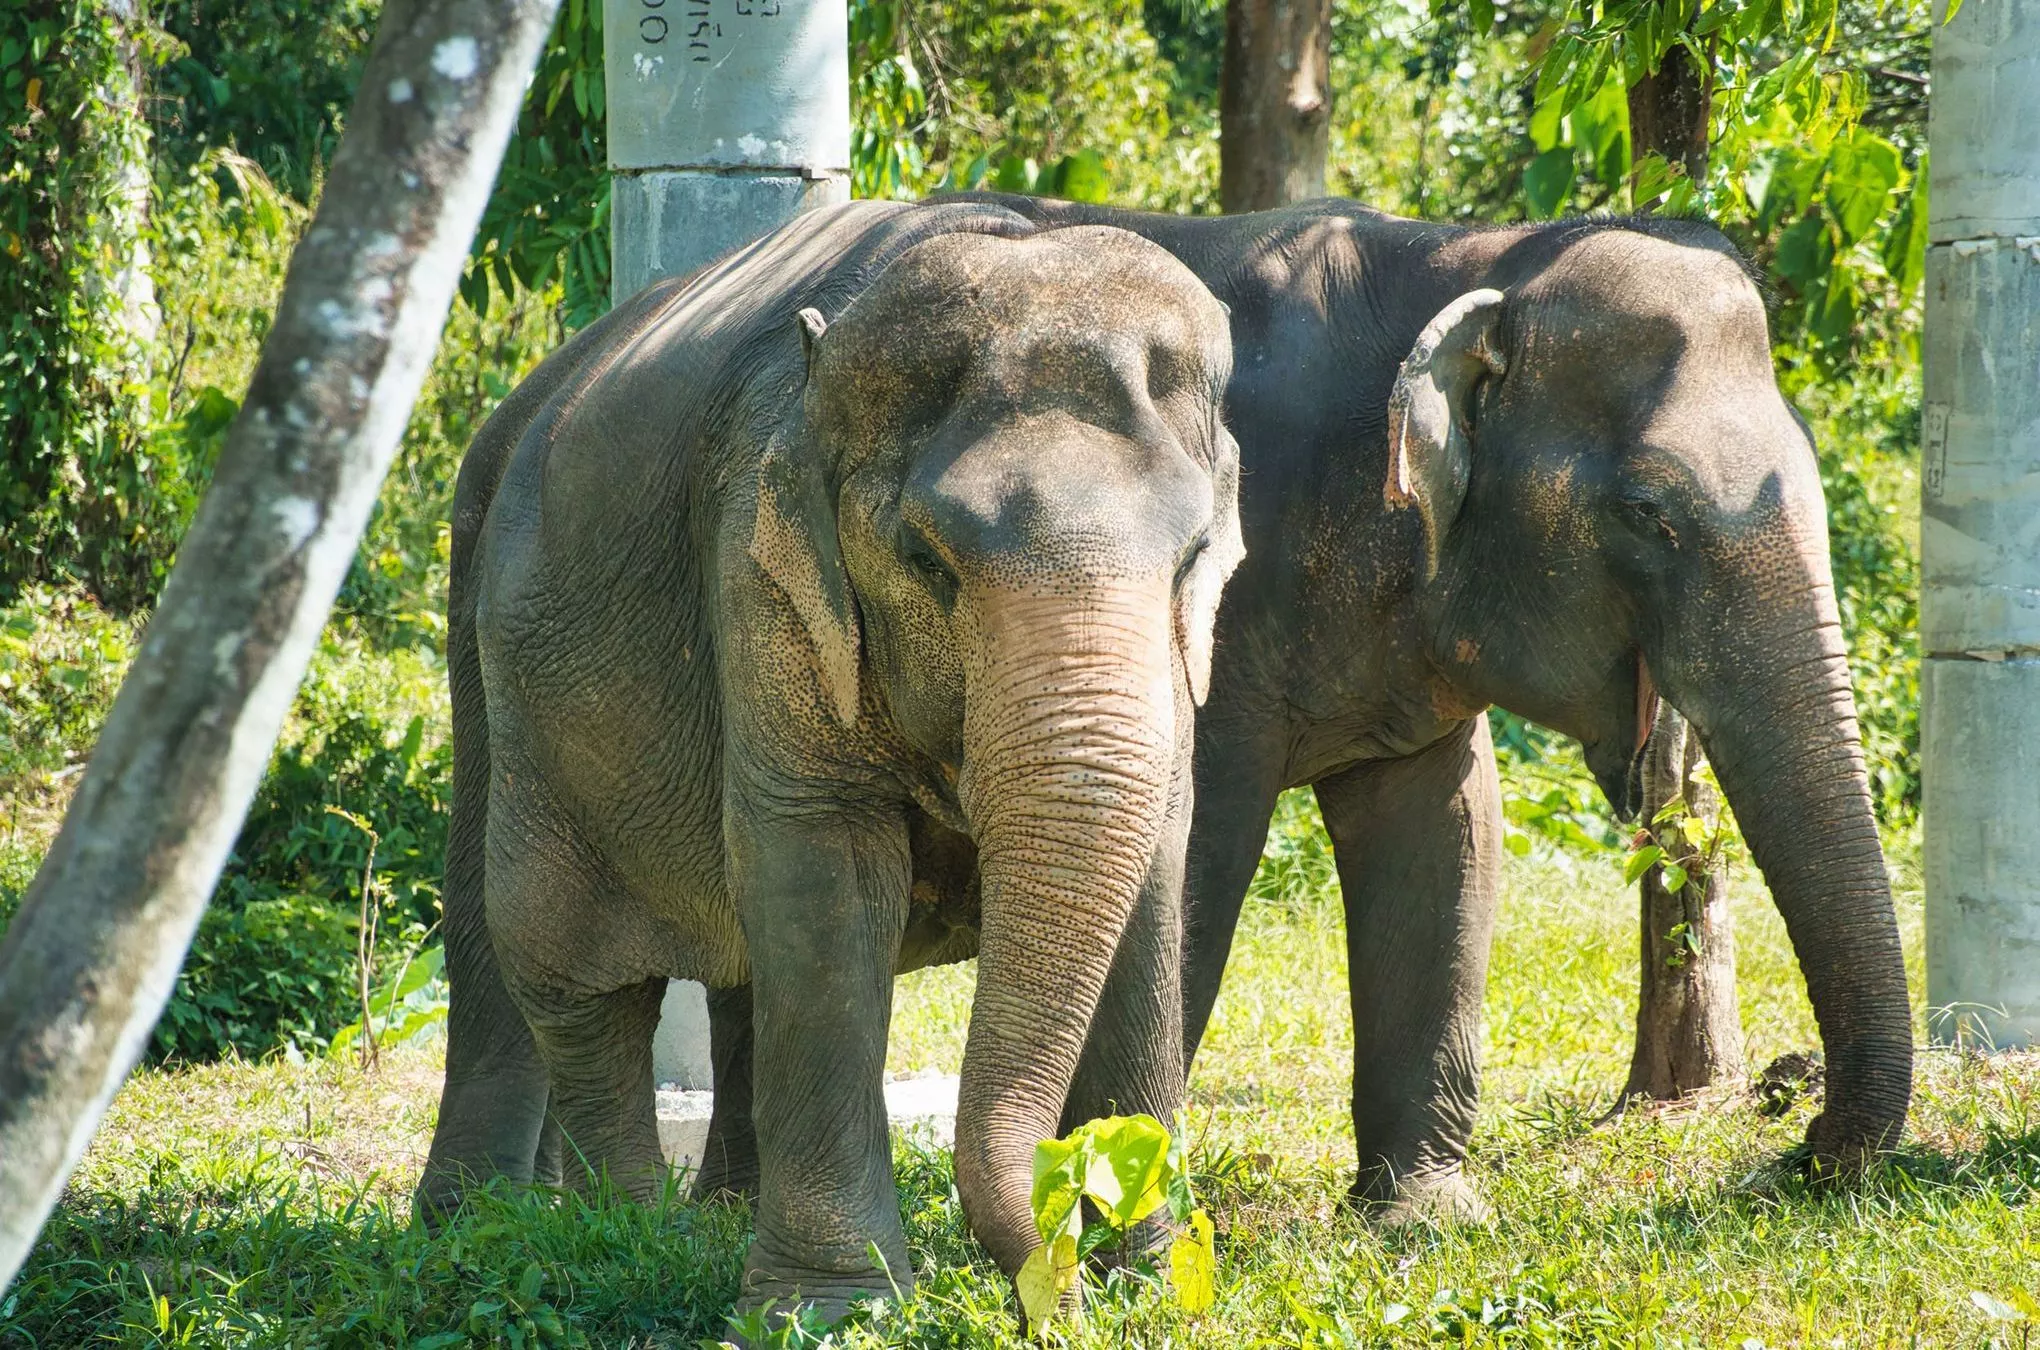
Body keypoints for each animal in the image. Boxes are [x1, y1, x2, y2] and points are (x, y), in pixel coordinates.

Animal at [414, 200, 1240, 1321]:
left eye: (1194, 557)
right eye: (927, 561)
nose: (1050, 1284)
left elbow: (1154, 868)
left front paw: (1147, 1282)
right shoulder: (759, 574)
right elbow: (825, 877)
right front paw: (830, 1310)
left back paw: (706, 1217)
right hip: (499, 661)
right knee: (556, 965)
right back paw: (590, 1234)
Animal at [685, 195, 1909, 1223]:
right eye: (1650, 513)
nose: (1798, 1148)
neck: (1469, 255)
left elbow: (1448, 834)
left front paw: (1422, 1222)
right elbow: (1202, 848)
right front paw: (1107, 1200)